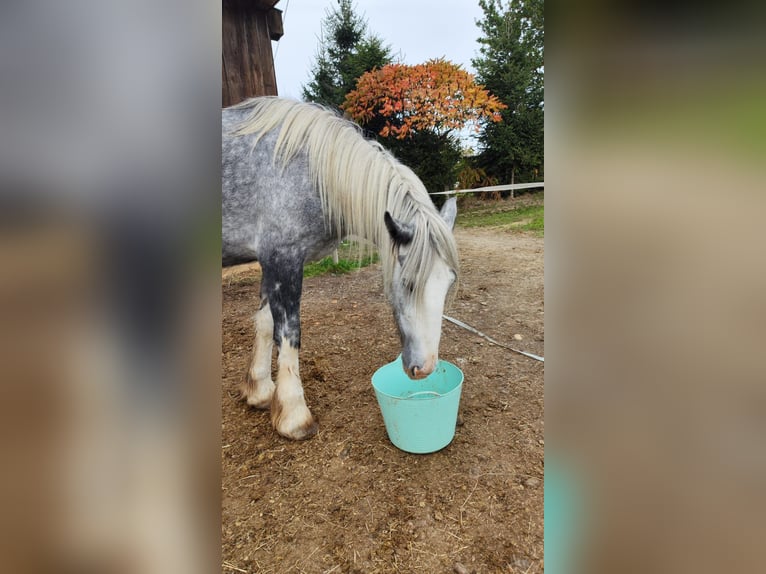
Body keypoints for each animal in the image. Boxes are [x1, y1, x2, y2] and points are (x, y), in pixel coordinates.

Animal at [222, 97, 460, 440]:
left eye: (449, 283)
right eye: (408, 282)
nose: (424, 368)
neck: (307, 172)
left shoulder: (270, 261)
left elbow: (265, 324)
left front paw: (260, 392)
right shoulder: (284, 259)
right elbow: (289, 333)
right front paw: (294, 416)